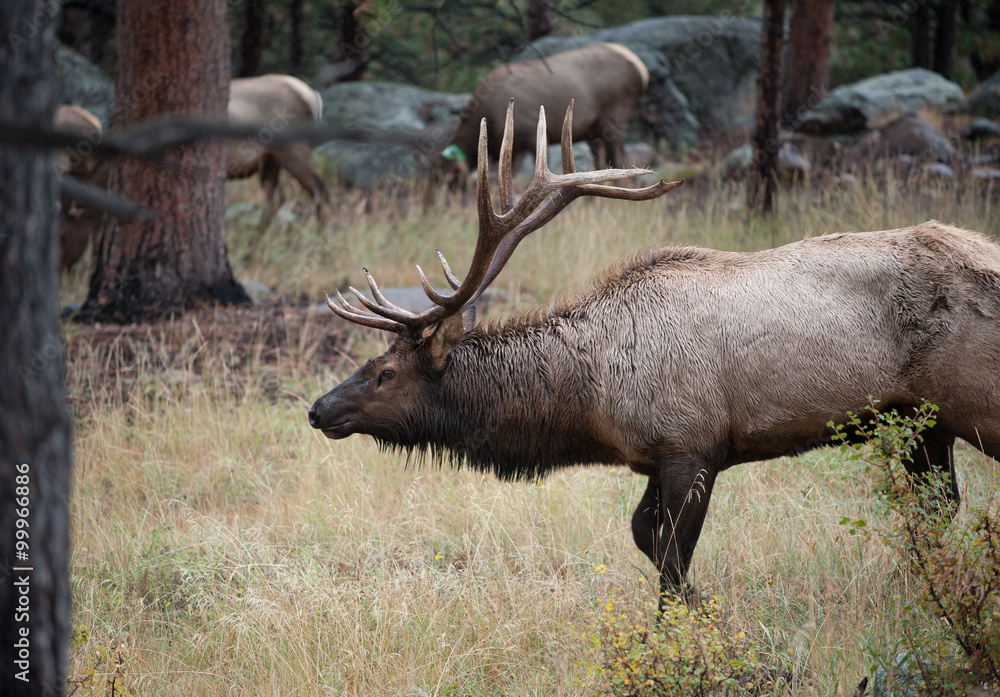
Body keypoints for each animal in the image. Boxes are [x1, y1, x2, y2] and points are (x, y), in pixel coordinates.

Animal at [310, 100, 1000, 608]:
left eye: (384, 372)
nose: (318, 410)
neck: (590, 401)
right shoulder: (652, 457)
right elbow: (646, 538)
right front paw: (698, 608)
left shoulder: (694, 447)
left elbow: (671, 556)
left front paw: (687, 627)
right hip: (924, 422)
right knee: (939, 506)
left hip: (974, 405)